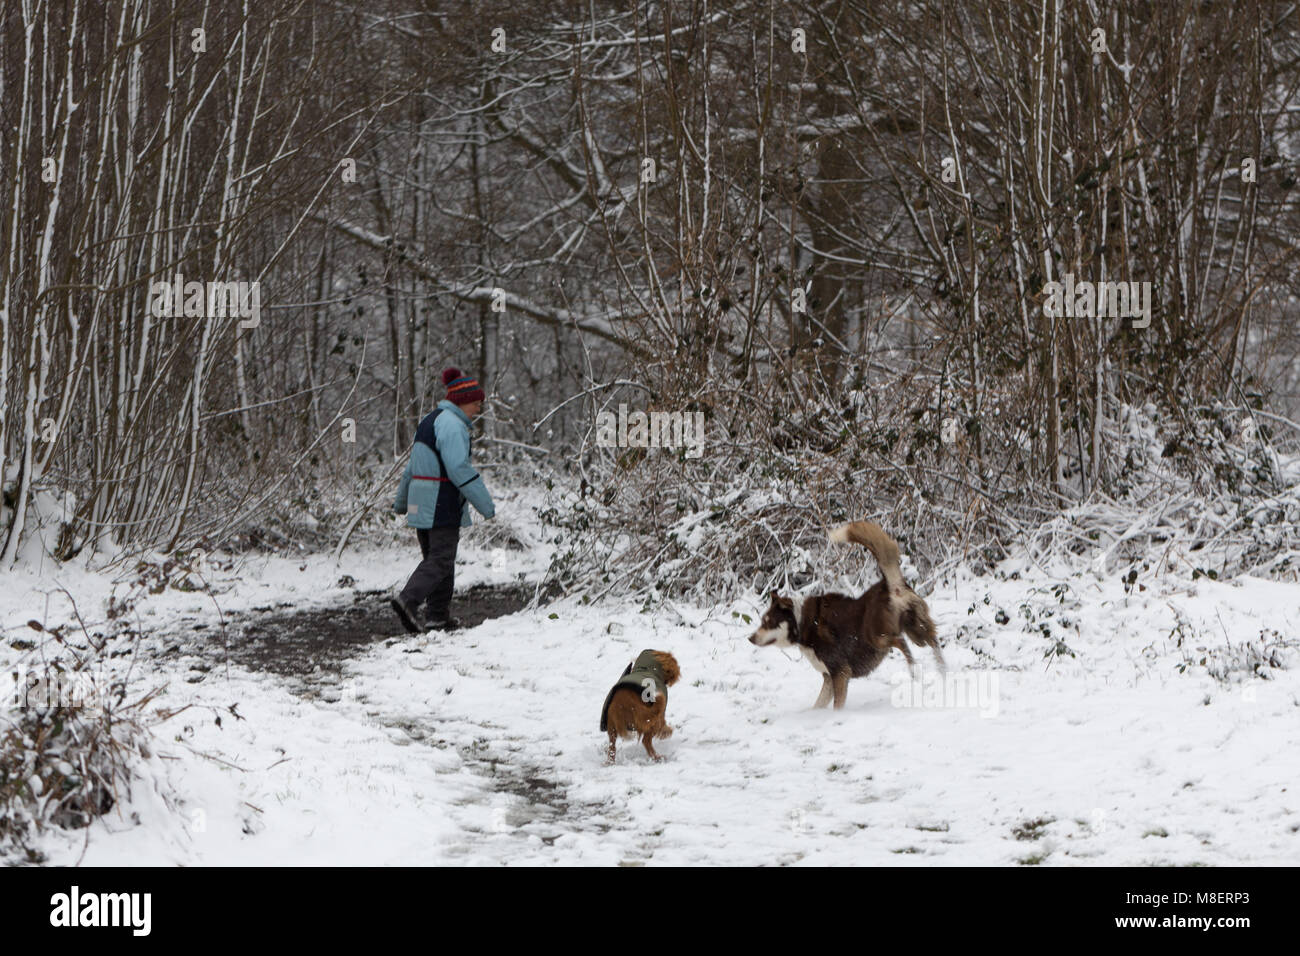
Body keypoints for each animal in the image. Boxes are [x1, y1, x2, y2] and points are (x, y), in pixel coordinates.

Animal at [748, 522, 941, 712]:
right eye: (762, 622)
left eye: (768, 623)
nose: (750, 638)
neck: (802, 623)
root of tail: (889, 585)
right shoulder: (828, 678)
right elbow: (818, 705)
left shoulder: (839, 672)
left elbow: (837, 705)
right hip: (917, 631)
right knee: (932, 642)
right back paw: (941, 671)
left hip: (877, 638)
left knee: (900, 641)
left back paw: (915, 671)